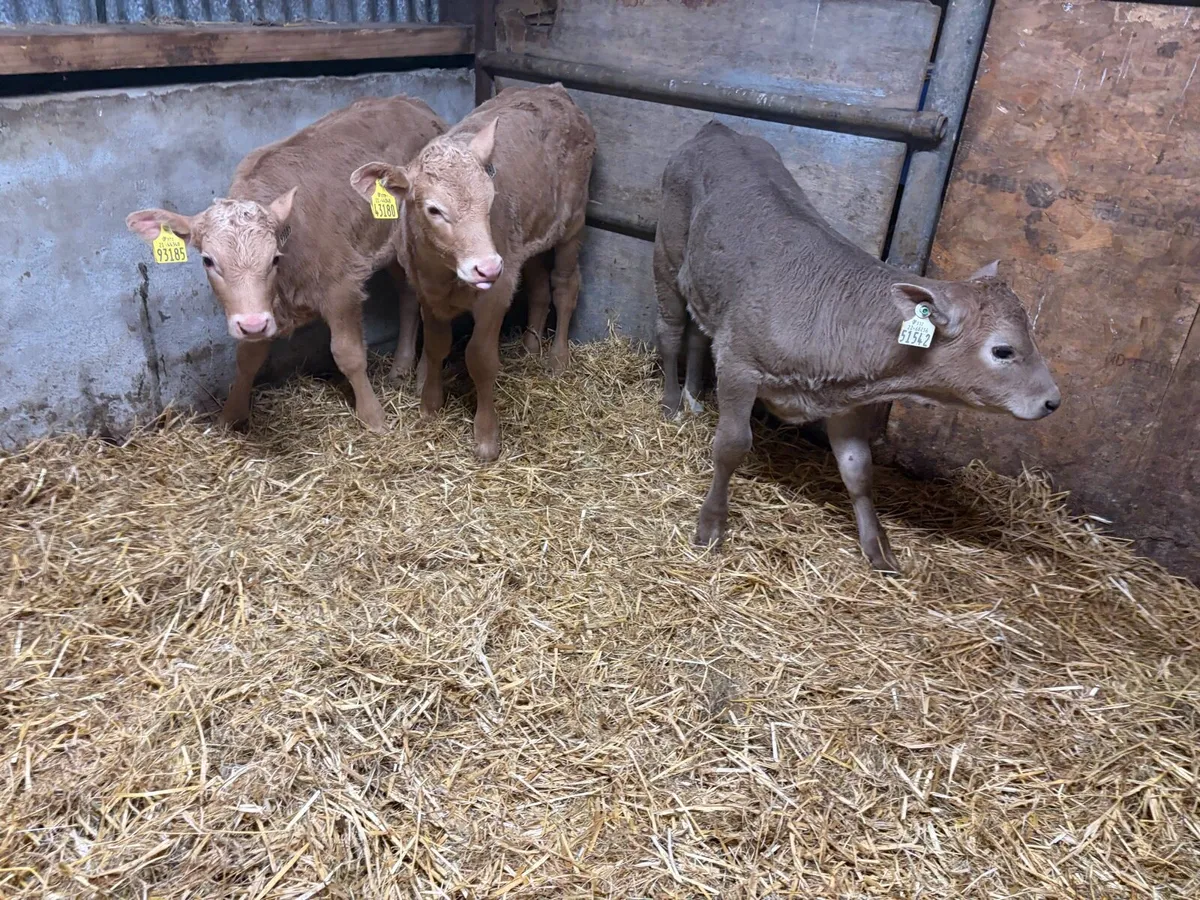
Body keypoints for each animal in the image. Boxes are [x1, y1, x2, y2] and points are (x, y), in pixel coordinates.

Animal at [126, 95, 448, 432]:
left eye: (274, 258)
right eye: (208, 261)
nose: (252, 324)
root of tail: (410, 102)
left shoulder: (342, 286)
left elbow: (348, 354)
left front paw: (373, 418)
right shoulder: (259, 308)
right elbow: (247, 360)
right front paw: (229, 416)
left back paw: (422, 377)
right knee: (409, 297)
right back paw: (400, 369)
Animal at [350, 84, 596, 461]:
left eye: (490, 199)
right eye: (434, 209)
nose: (488, 266)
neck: (445, 274)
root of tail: (550, 89)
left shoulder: (496, 292)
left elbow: (480, 358)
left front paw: (486, 436)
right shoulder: (426, 291)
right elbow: (436, 346)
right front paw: (429, 406)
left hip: (573, 221)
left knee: (565, 286)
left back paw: (557, 358)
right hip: (529, 237)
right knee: (539, 286)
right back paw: (530, 346)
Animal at [655, 122, 1061, 573]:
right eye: (1003, 350)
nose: (1052, 400)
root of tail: (719, 129)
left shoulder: (845, 397)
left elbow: (858, 469)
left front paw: (878, 547)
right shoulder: (741, 364)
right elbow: (731, 445)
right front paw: (711, 525)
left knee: (698, 332)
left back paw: (694, 396)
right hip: (666, 254)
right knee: (671, 329)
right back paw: (672, 402)